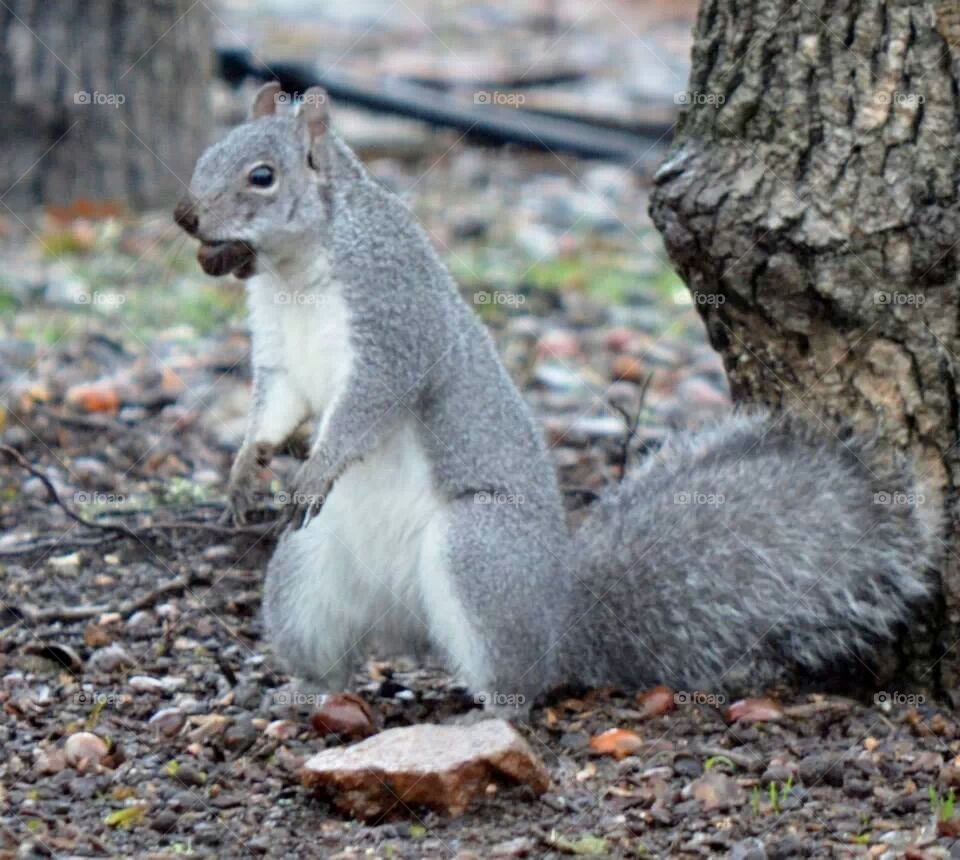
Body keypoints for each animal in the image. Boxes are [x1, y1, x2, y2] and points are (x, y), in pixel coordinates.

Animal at [172, 82, 936, 712]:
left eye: (262, 176)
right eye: (204, 155)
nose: (185, 217)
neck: (296, 269)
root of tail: (559, 619)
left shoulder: (394, 322)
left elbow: (369, 403)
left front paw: (317, 468)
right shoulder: (279, 355)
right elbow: (276, 407)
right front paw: (244, 470)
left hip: (477, 552)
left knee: (521, 682)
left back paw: (486, 715)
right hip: (306, 572)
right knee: (331, 655)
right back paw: (299, 692)